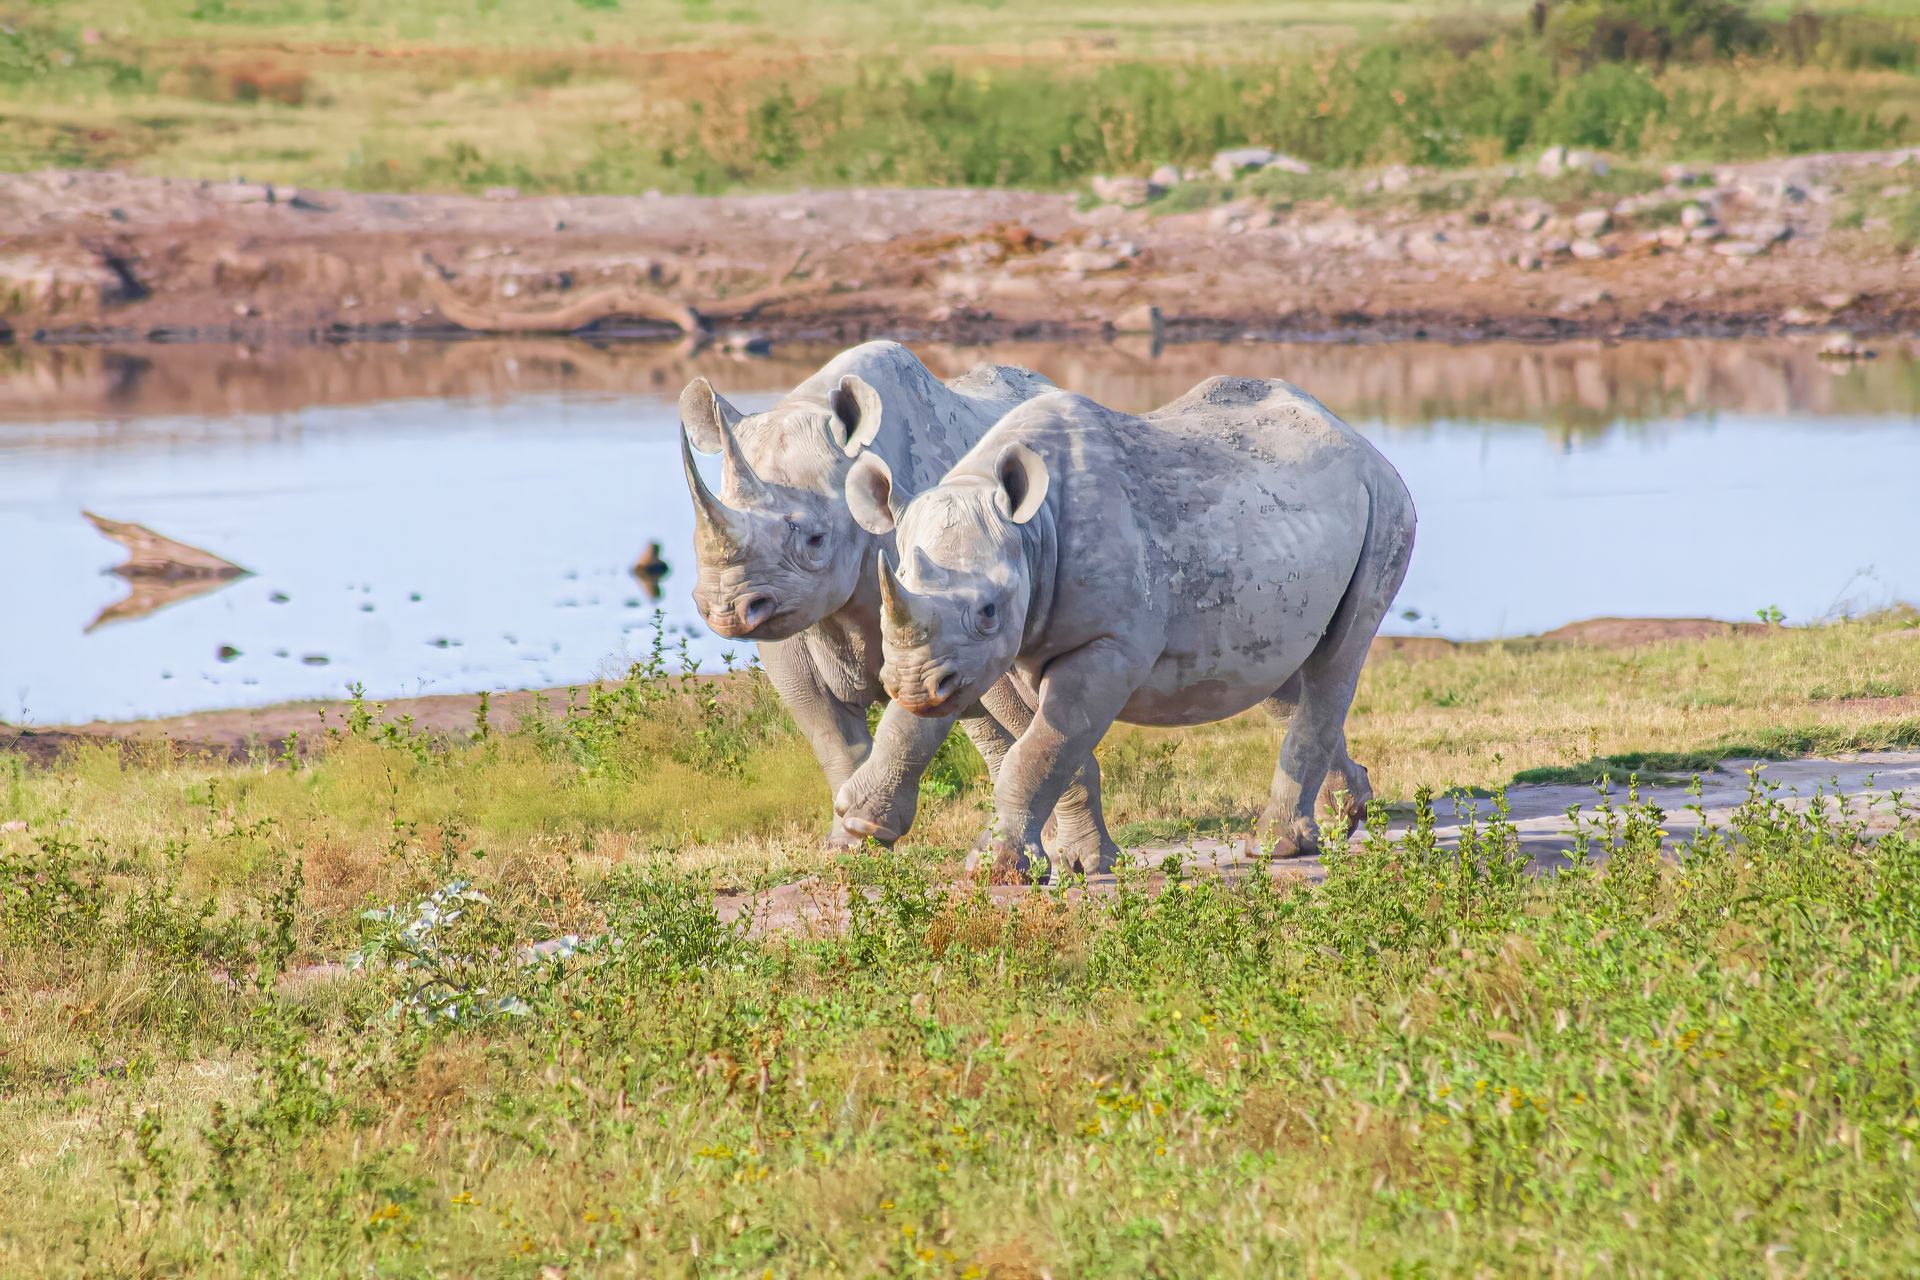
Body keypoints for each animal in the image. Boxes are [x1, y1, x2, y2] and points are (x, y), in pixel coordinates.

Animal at [840, 376, 1413, 886]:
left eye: (987, 611)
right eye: (897, 583)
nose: (911, 684)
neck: (1031, 531)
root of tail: (1361, 442)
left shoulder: (1108, 646)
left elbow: (1041, 748)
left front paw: (996, 869)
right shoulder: (980, 654)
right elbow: (1025, 743)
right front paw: (861, 825)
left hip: (1386, 508)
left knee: (1336, 660)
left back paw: (1276, 846)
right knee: (1279, 673)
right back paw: (1347, 814)